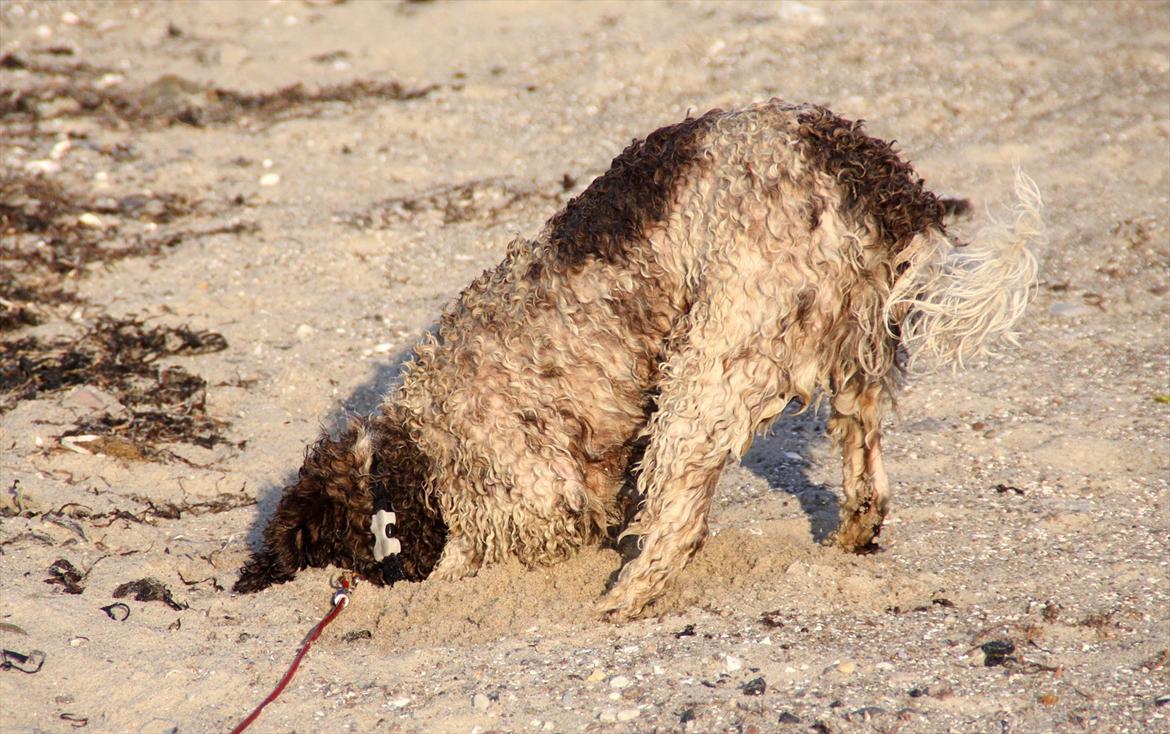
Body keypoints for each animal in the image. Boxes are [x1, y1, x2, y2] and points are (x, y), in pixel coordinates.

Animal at [235, 98, 1043, 618]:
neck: (411, 447)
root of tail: (882, 188)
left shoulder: (528, 486)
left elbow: (485, 541)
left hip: (711, 368)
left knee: (680, 523)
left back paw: (624, 600)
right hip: (856, 361)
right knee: (866, 472)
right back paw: (850, 535)